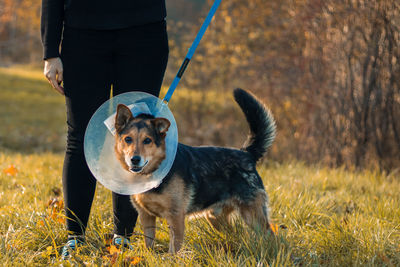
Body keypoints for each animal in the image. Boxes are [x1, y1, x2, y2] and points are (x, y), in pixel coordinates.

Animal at [112, 89, 276, 254]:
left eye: (147, 141)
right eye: (128, 139)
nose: (134, 159)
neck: (155, 171)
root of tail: (246, 154)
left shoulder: (176, 217)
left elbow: (174, 249)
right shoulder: (146, 216)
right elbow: (149, 244)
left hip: (253, 216)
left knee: (270, 235)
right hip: (215, 217)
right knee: (235, 234)